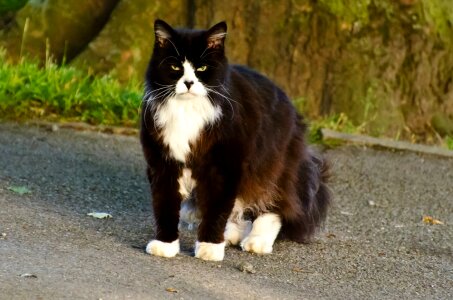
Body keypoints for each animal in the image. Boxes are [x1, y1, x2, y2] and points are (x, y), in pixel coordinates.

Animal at [139, 19, 330, 262]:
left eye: (202, 69)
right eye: (175, 68)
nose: (189, 82)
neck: (187, 111)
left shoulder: (224, 167)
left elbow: (217, 208)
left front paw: (209, 247)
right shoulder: (163, 164)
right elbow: (165, 206)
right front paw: (166, 245)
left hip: (272, 164)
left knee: (273, 204)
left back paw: (257, 241)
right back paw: (232, 234)